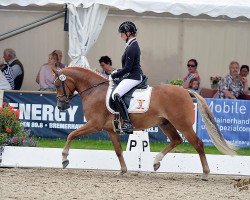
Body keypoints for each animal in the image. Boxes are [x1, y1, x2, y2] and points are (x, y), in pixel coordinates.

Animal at [52, 67, 236, 180]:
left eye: (57, 84)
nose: (61, 106)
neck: (94, 90)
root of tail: (185, 90)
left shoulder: (94, 124)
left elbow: (71, 134)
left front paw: (64, 159)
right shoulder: (110, 130)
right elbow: (118, 151)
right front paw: (123, 170)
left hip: (182, 124)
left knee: (197, 144)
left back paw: (205, 173)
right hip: (165, 123)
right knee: (176, 140)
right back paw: (156, 162)